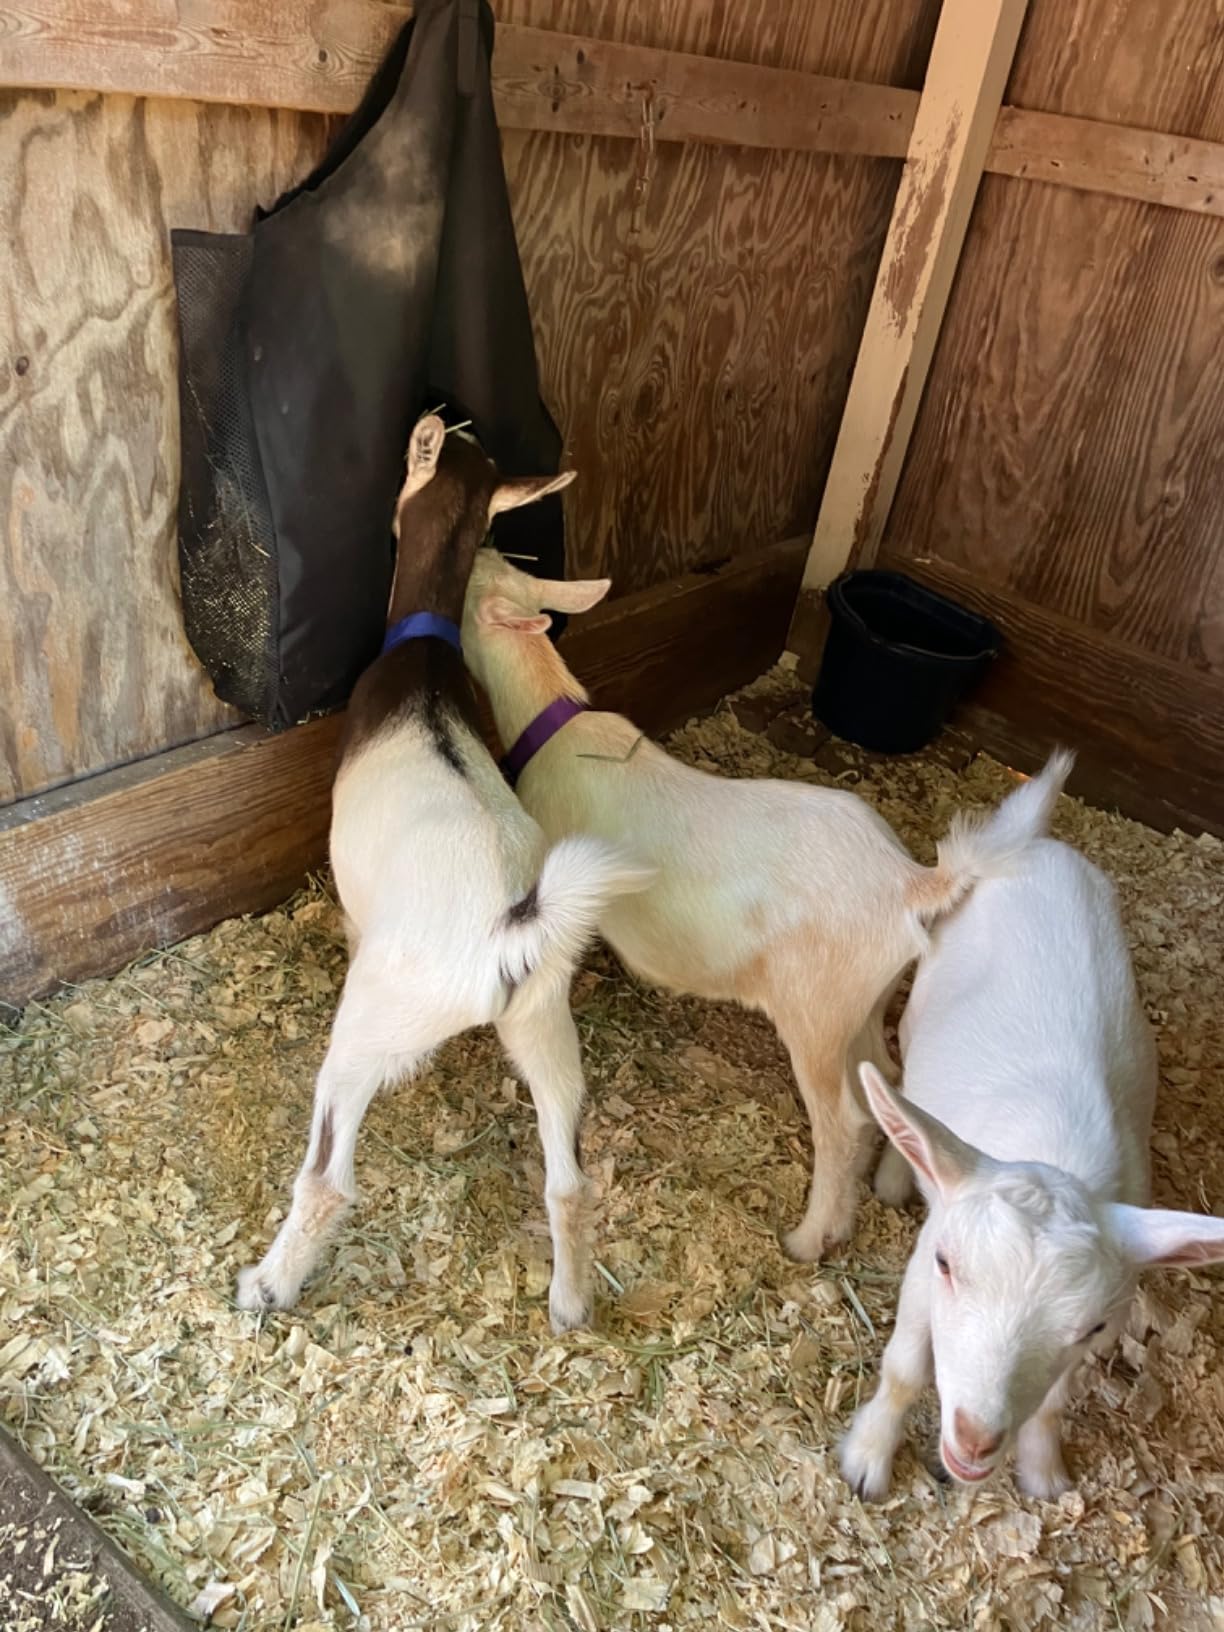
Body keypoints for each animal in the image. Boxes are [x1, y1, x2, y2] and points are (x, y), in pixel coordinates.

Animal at [236, 417, 651, 1332]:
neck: (423, 657)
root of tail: (506, 931)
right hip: (546, 1025)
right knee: (569, 1181)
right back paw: (569, 1305)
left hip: (370, 1026)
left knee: (328, 1174)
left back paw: (268, 1284)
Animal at [460, 547, 1025, 1258]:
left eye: (465, 587)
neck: (556, 725)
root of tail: (910, 882)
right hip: (864, 1000)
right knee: (893, 1076)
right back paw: (891, 1184)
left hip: (816, 1009)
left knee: (845, 1120)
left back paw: (811, 1237)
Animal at [840, 751, 1224, 1500]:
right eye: (948, 1265)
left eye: (1090, 1323)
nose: (973, 1439)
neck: (1057, 1150)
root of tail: (1036, 843)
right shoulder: (923, 1267)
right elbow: (903, 1368)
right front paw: (868, 1459)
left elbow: (1052, 1401)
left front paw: (1043, 1471)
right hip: (924, 993)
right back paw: (900, 1169)